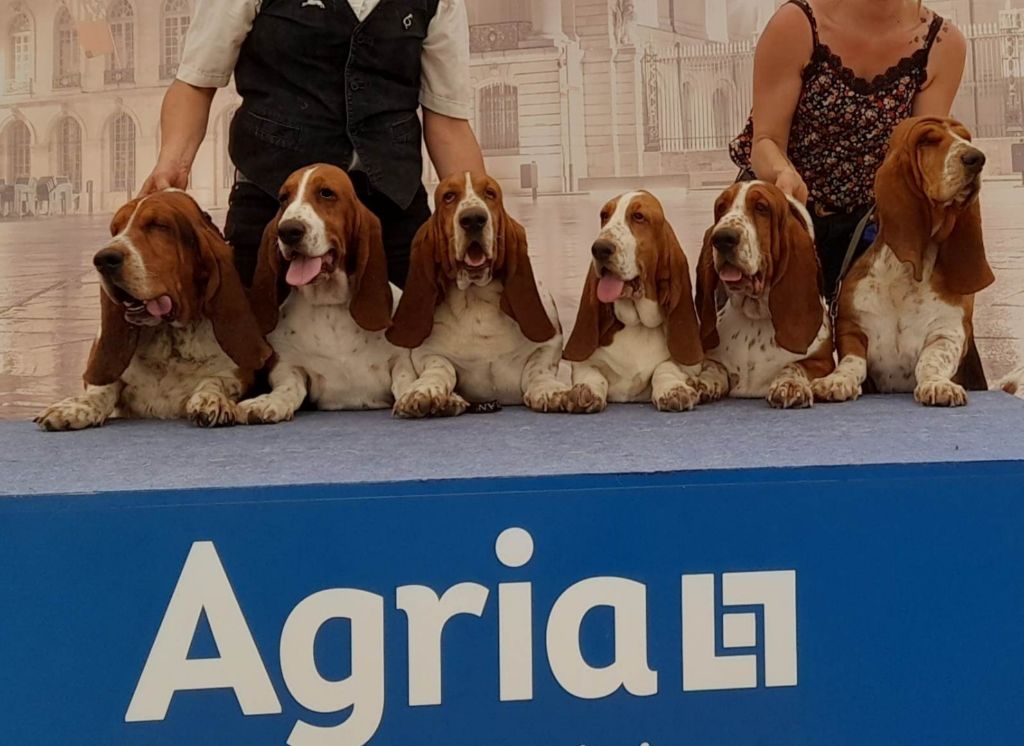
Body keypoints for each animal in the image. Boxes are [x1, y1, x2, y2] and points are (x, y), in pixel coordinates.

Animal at [35, 187, 270, 429]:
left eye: (158, 225)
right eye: (115, 229)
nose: (103, 259)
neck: (170, 339)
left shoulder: (238, 374)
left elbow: (215, 381)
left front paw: (212, 400)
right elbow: (101, 390)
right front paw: (74, 408)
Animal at [237, 162, 417, 419]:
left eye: (326, 193)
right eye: (283, 198)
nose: (288, 231)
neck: (329, 304)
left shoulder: (400, 359)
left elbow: (405, 379)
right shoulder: (289, 366)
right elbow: (288, 387)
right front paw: (266, 403)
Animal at [387, 171, 573, 419]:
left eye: (490, 193)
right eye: (448, 196)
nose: (474, 218)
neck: (476, 297)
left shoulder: (550, 344)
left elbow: (539, 368)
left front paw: (550, 391)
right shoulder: (426, 353)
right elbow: (440, 368)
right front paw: (424, 391)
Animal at [692, 181, 835, 409]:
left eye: (761, 208)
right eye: (721, 208)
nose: (722, 238)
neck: (756, 316)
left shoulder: (823, 362)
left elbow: (795, 366)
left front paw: (790, 385)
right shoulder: (711, 358)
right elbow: (713, 367)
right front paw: (702, 382)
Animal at [811, 116, 995, 407]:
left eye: (966, 137)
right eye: (927, 140)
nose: (977, 158)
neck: (907, 273)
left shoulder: (949, 332)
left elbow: (931, 361)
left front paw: (938, 386)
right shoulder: (851, 328)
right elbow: (852, 362)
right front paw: (835, 382)